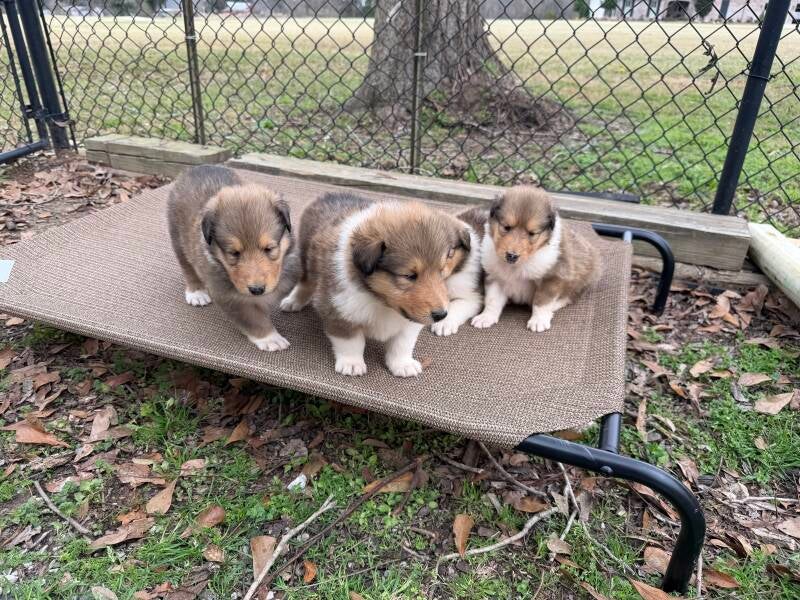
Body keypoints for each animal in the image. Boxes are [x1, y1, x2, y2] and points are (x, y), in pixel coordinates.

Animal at [167, 165, 297, 351]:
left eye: (269, 248)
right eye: (234, 253)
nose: (257, 290)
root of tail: (199, 167)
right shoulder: (230, 298)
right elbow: (254, 319)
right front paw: (270, 339)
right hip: (178, 238)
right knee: (187, 267)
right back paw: (196, 292)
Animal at [280, 192, 471, 377]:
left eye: (442, 270)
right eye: (409, 275)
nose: (441, 315)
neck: (381, 301)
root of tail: (328, 194)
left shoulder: (410, 321)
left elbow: (402, 343)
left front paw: (403, 365)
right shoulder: (338, 309)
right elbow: (352, 341)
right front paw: (352, 364)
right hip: (306, 258)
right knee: (305, 282)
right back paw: (293, 301)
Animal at [470, 186, 599, 332]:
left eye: (532, 233)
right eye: (506, 227)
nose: (511, 256)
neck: (517, 266)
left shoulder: (552, 277)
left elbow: (541, 302)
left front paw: (539, 321)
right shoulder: (495, 276)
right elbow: (492, 300)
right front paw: (486, 317)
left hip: (583, 276)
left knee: (571, 295)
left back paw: (556, 305)